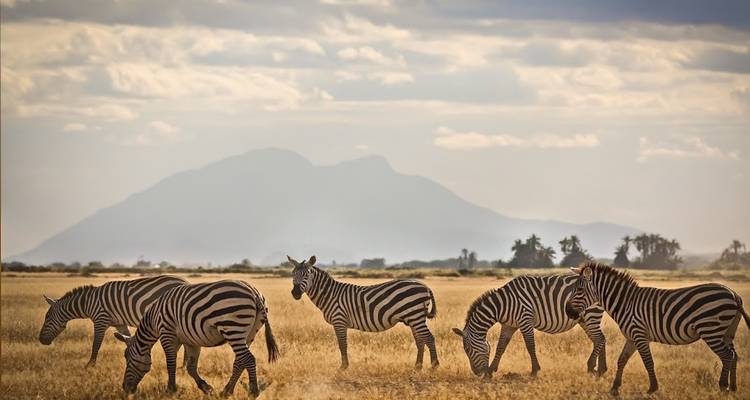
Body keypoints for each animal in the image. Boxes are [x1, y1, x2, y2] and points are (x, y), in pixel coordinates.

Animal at [39, 274, 188, 366]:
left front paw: (90, 365)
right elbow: (127, 338)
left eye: (47, 317)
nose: (41, 340)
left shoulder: (101, 319)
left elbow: (96, 344)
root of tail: (185, 282)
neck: (88, 303)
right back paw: (183, 366)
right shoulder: (119, 323)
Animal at [113, 280, 279, 396]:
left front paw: (170, 390)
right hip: (249, 333)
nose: (125, 389)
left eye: (127, 358)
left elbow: (171, 363)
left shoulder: (167, 333)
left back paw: (253, 392)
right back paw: (226, 391)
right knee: (240, 361)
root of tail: (255, 294)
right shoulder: (191, 341)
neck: (154, 320)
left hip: (233, 328)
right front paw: (206, 388)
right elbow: (191, 367)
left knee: (248, 359)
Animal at [288, 255, 438, 369]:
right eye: (293, 274)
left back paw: (434, 366)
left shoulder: (339, 320)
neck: (330, 294)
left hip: (415, 316)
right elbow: (342, 344)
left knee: (429, 338)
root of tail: (425, 286)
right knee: (420, 340)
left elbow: (342, 344)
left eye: (307, 274)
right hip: (413, 318)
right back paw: (417, 366)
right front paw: (344, 366)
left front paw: (343, 367)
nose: (295, 293)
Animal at [452, 274, 607, 378]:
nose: (477, 373)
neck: (503, 304)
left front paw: (534, 370)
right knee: (600, 339)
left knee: (599, 338)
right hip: (584, 319)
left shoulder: (525, 320)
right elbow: (501, 347)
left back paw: (593, 368)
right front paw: (490, 371)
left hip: (590, 314)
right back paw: (601, 370)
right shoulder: (508, 325)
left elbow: (530, 345)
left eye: (467, 349)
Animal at [565, 263, 750, 394]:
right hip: (727, 332)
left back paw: (723, 386)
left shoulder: (639, 334)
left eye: (579, 289)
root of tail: (734, 294)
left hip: (711, 330)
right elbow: (622, 360)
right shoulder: (631, 337)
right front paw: (615, 388)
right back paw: (733, 388)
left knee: (726, 356)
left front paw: (652, 388)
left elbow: (648, 362)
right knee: (734, 355)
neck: (626, 303)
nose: (567, 311)